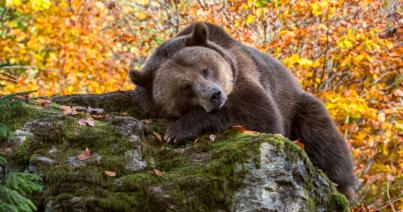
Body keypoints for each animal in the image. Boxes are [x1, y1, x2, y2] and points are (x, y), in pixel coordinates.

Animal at [130, 22, 356, 201]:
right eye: (185, 87)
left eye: (205, 69)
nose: (215, 95)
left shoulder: (245, 73)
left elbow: (261, 114)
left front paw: (177, 131)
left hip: (297, 105)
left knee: (323, 137)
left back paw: (344, 188)